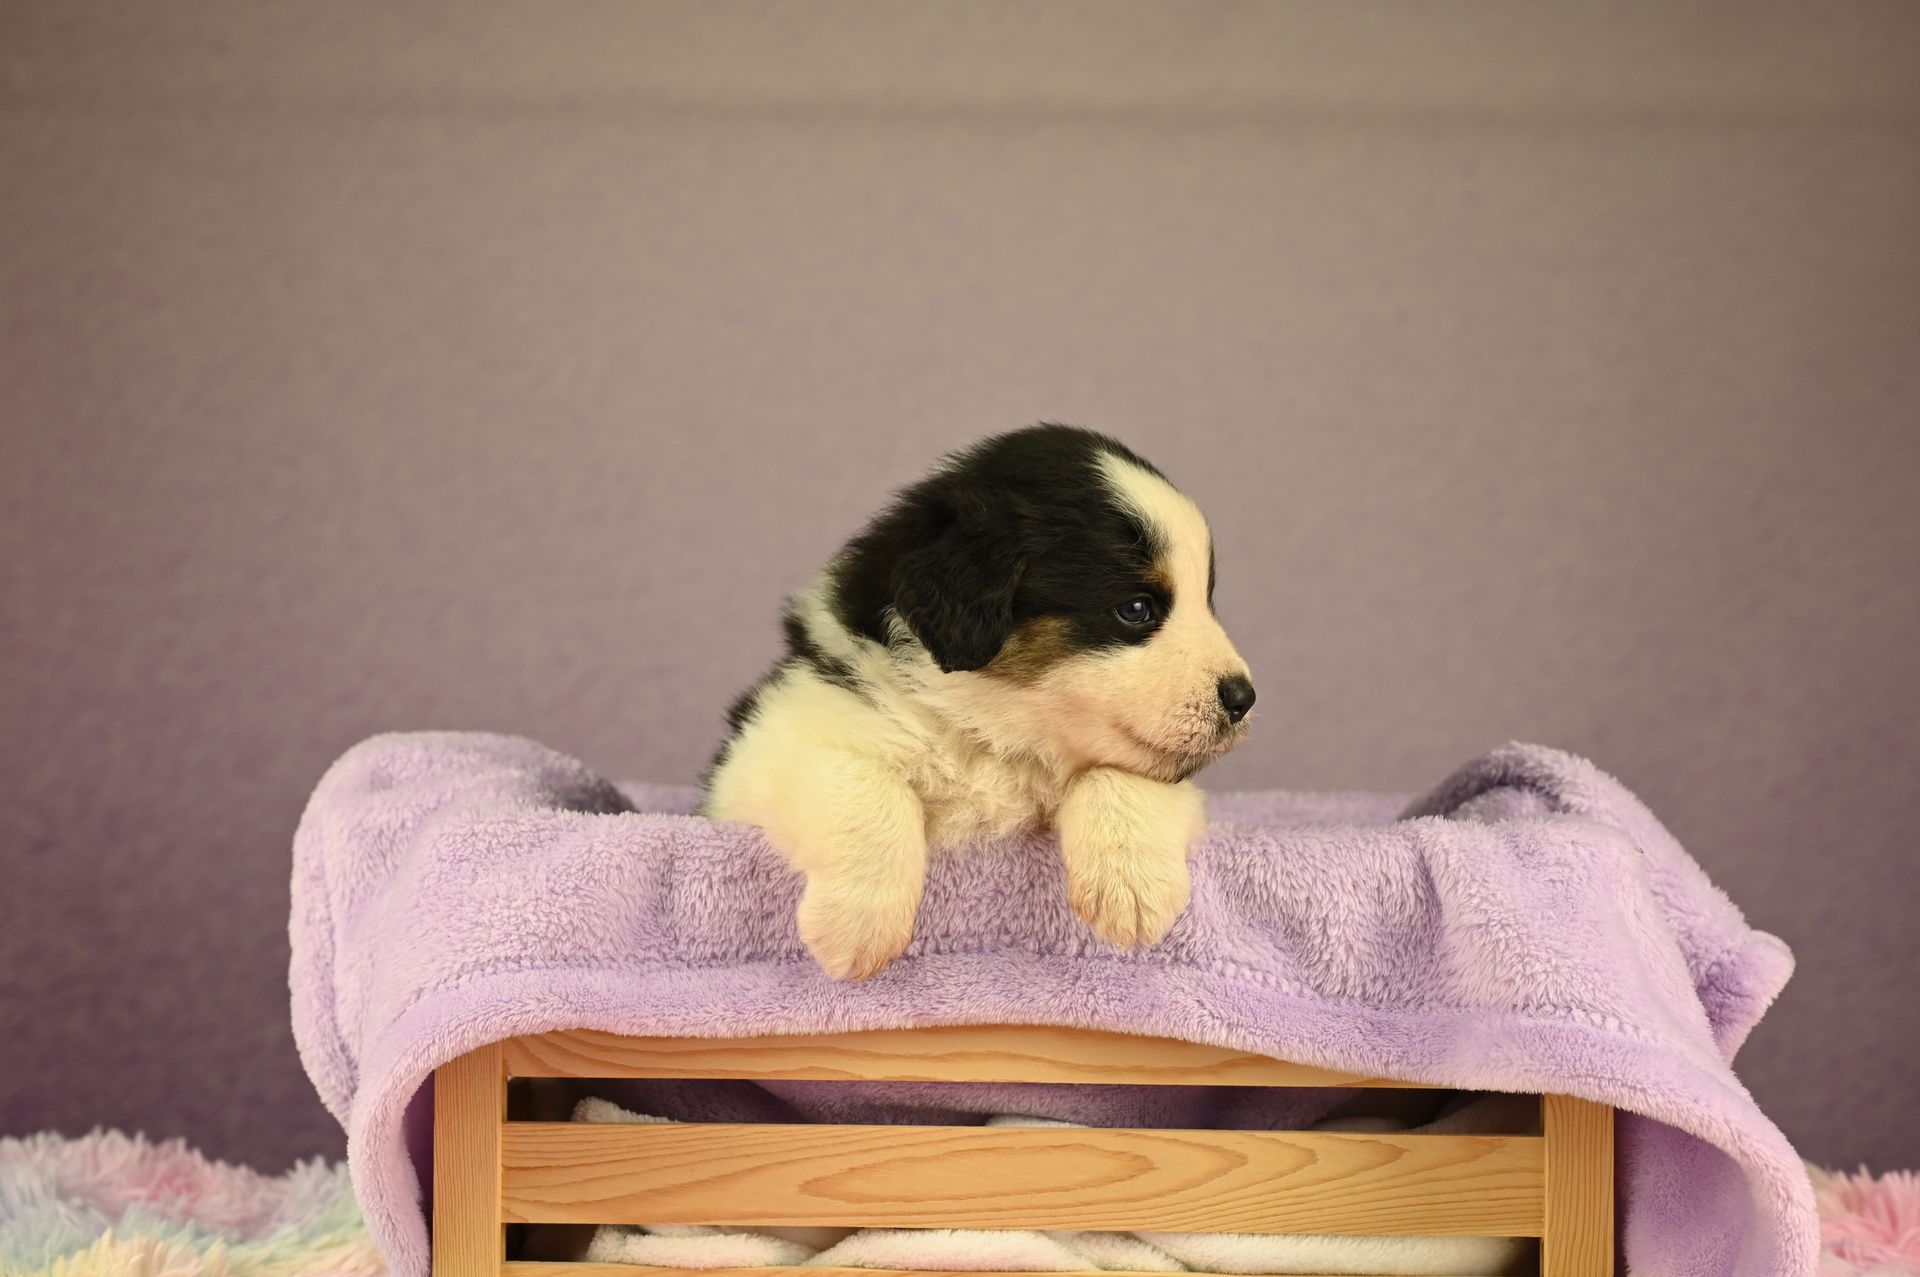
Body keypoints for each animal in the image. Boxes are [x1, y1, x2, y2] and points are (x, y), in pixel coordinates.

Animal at [702, 424, 1255, 979]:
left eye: (1206, 602)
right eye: (1137, 609)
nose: (1243, 698)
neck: (995, 729)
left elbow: (1120, 775)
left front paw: (1132, 888)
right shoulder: (770, 742)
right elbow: (866, 782)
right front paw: (858, 925)